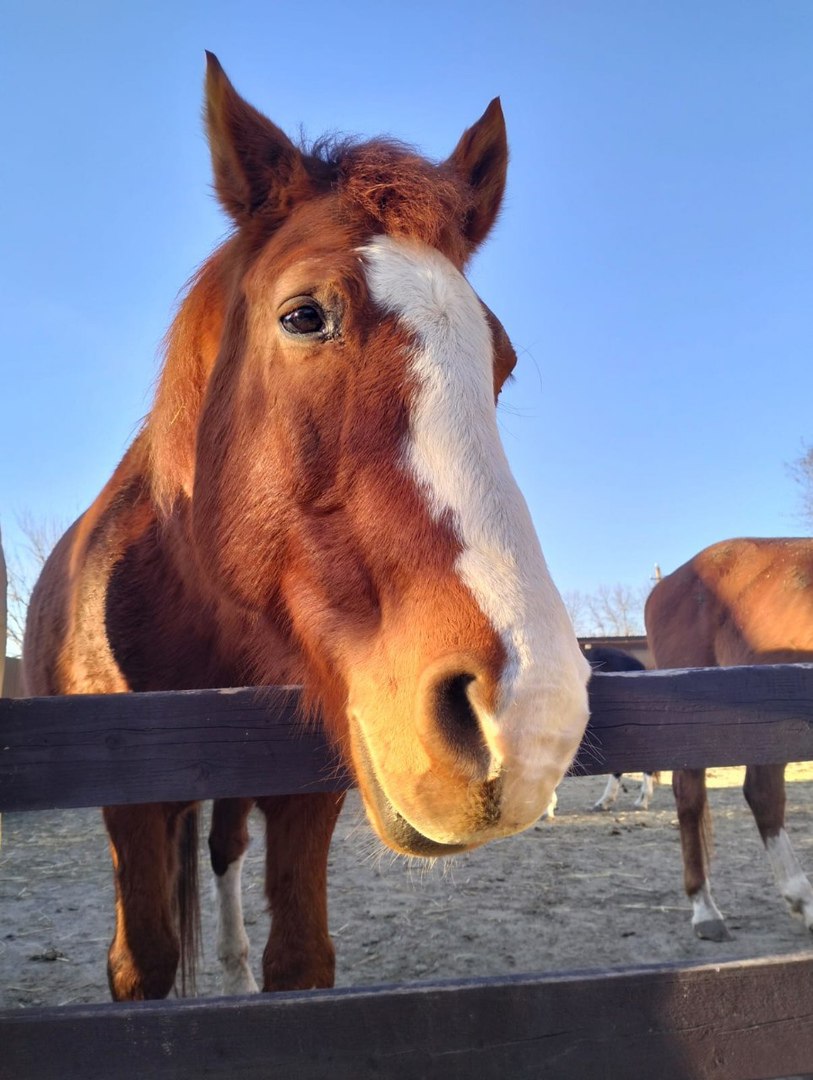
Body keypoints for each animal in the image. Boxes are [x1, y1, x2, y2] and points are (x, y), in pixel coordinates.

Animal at [20, 48, 591, 993]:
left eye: (500, 361)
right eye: (303, 315)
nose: (529, 716)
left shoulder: (304, 793)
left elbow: (297, 960)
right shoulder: (126, 805)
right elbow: (142, 964)